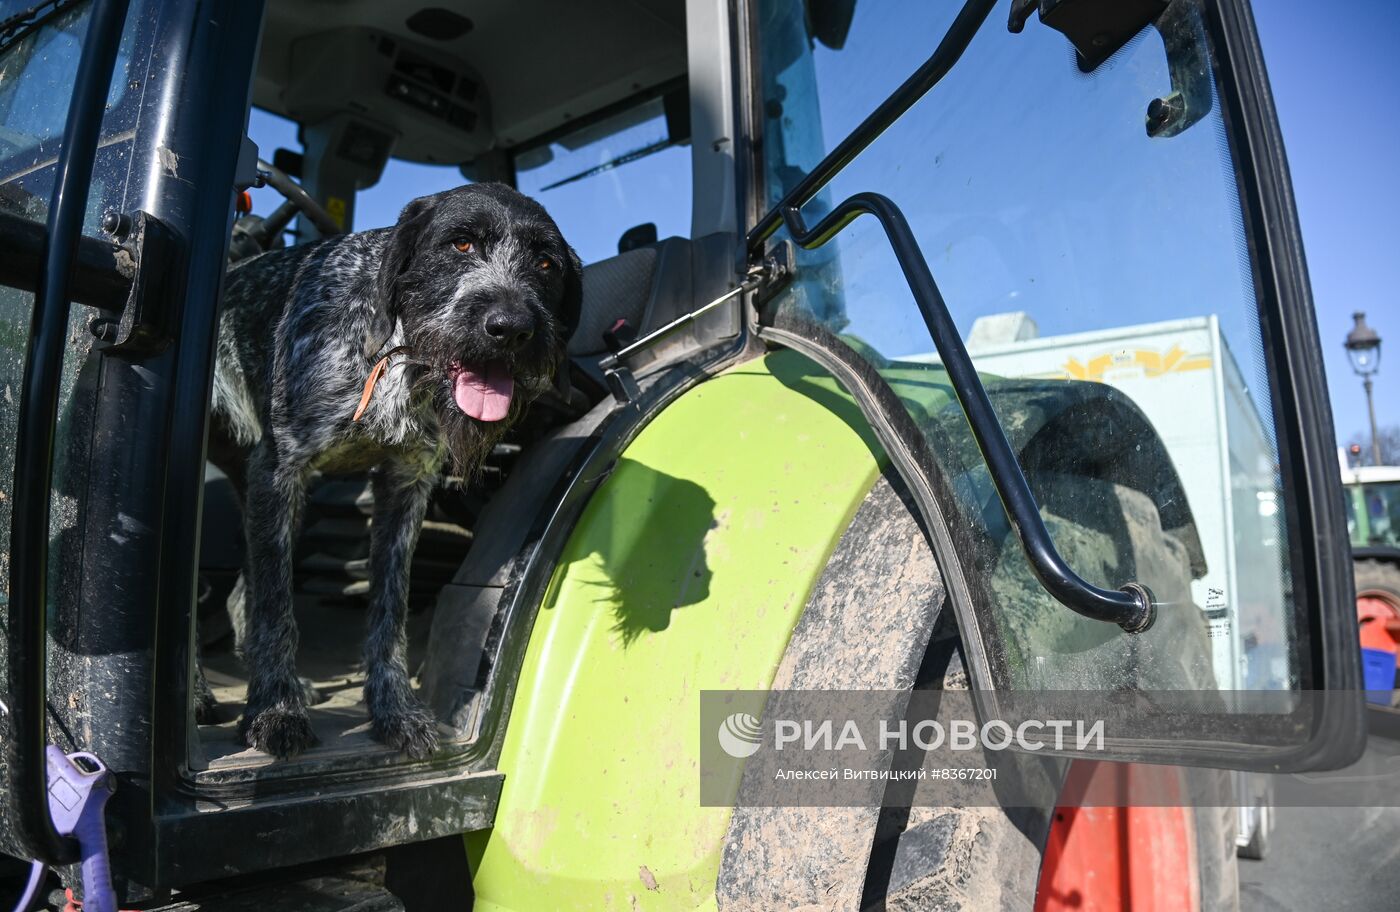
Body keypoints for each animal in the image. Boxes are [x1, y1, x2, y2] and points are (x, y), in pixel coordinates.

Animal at [204, 182, 582, 762]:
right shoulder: (281, 470)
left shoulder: (406, 484)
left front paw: (394, 710)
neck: (393, 356)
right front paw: (274, 710)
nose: (510, 329)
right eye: (461, 244)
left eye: (546, 264)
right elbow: (276, 607)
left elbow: (390, 608)